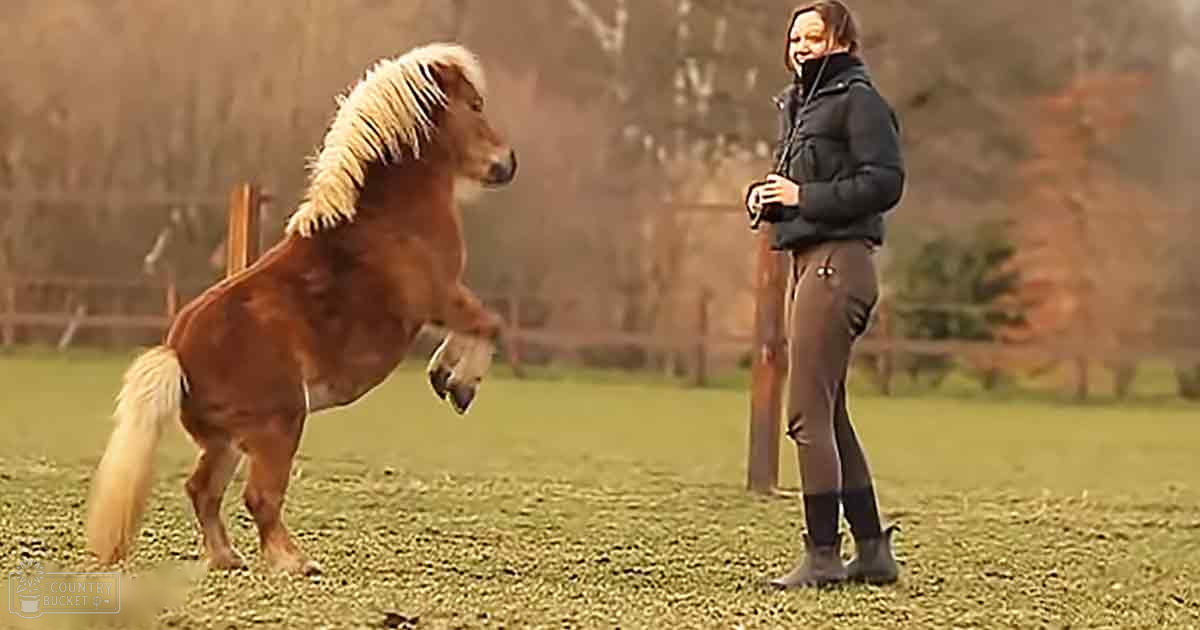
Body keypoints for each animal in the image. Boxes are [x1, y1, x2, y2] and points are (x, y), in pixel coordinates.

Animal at [84, 43, 516, 575]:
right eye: (474, 105)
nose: (507, 163)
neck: (387, 215)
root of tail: (177, 356)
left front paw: (445, 376)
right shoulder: (441, 297)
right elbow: (490, 324)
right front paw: (458, 384)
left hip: (228, 442)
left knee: (202, 490)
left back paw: (227, 558)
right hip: (280, 425)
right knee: (259, 497)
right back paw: (294, 562)